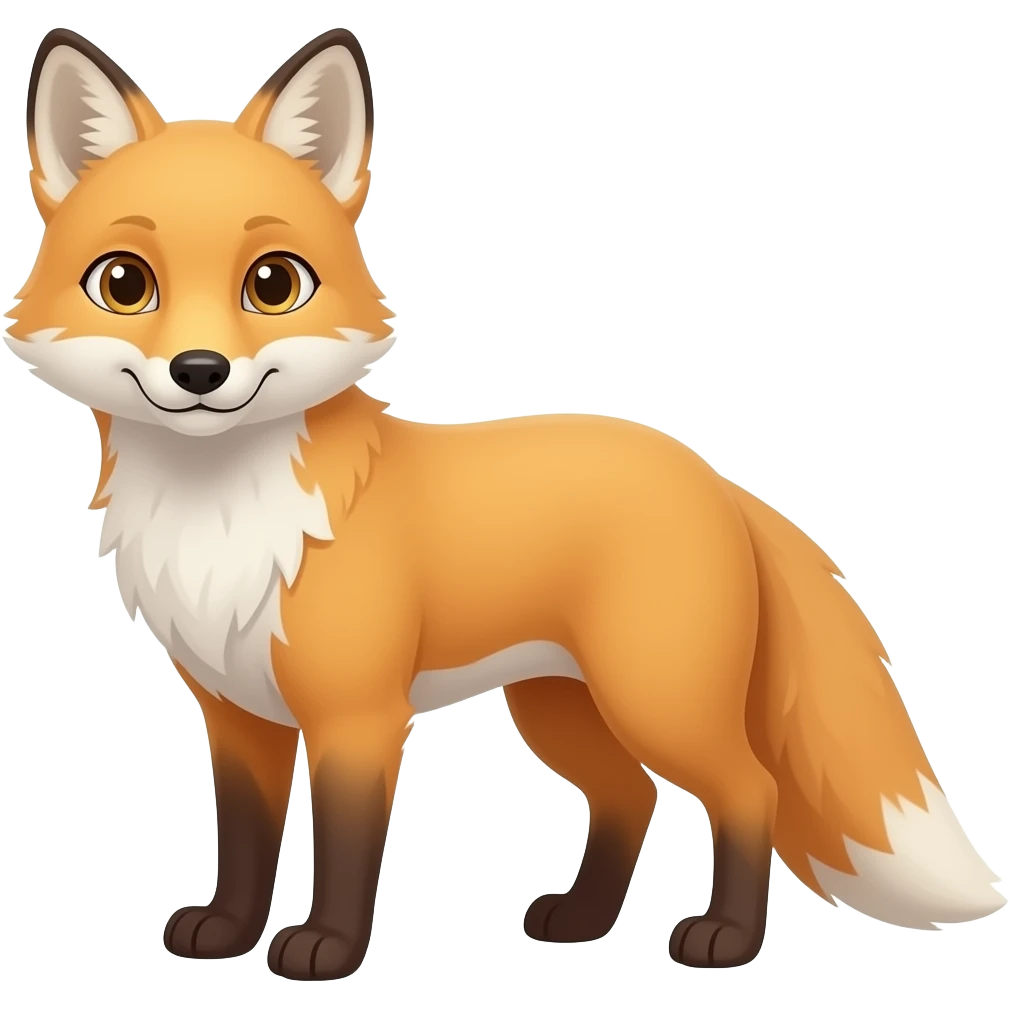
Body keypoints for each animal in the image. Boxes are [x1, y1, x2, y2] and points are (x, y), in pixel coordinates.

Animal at [6, 26, 1005, 982]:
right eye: (125, 283)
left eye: (273, 283)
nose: (201, 371)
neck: (220, 516)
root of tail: (715, 476)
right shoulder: (238, 714)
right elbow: (246, 843)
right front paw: (226, 931)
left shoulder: (358, 716)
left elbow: (348, 849)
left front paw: (327, 949)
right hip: (558, 706)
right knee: (630, 795)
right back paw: (584, 920)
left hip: (656, 698)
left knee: (746, 789)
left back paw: (724, 938)